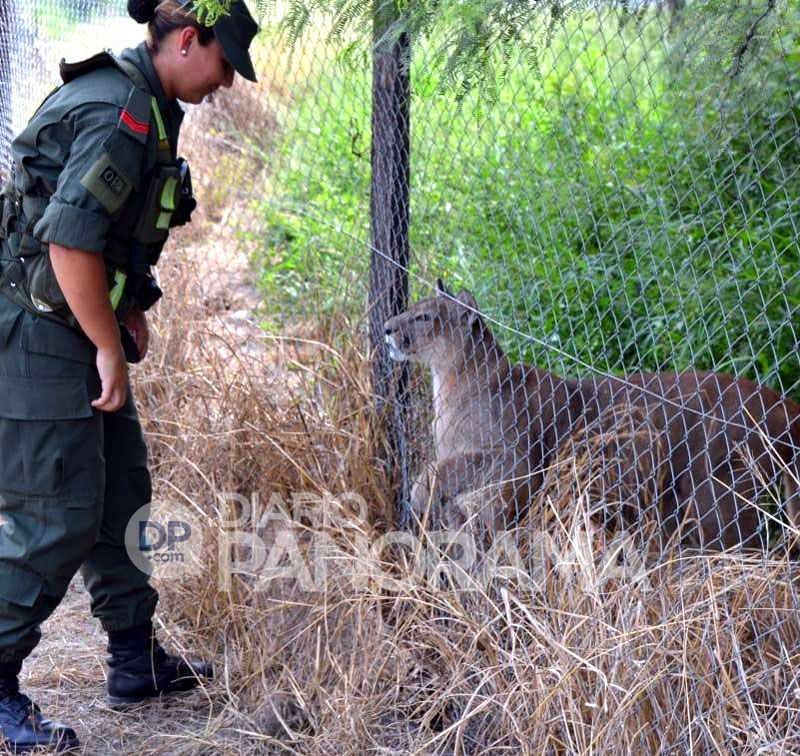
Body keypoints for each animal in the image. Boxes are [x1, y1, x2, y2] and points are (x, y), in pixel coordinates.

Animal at [384, 280, 800, 551]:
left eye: (423, 317)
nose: (386, 328)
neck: (452, 378)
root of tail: (779, 399)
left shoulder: (515, 462)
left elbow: (437, 473)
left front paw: (420, 499)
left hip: (717, 493)